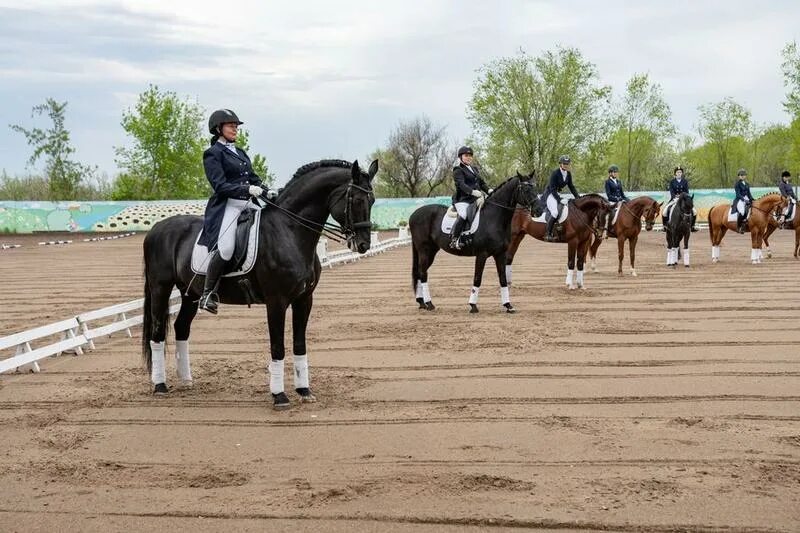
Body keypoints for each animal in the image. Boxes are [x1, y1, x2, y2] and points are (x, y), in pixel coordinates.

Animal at [141, 158, 378, 408]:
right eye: (357, 200)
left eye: (372, 200)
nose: (363, 245)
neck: (290, 231)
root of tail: (156, 229)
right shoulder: (276, 302)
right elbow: (278, 346)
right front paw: (279, 396)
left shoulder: (304, 300)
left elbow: (299, 344)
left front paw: (304, 391)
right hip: (160, 288)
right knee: (157, 332)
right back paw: (160, 386)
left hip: (190, 293)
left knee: (181, 328)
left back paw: (186, 381)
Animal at [410, 171, 536, 312]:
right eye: (526, 189)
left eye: (535, 187)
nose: (537, 209)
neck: (494, 218)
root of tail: (414, 213)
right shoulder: (482, 254)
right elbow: (477, 278)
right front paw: (473, 305)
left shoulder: (500, 254)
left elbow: (503, 279)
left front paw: (508, 305)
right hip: (424, 250)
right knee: (423, 273)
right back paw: (429, 303)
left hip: (431, 251)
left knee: (420, 273)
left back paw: (422, 302)